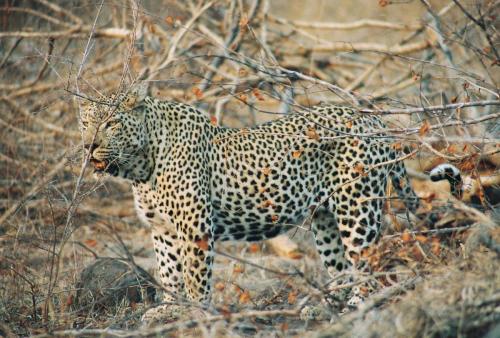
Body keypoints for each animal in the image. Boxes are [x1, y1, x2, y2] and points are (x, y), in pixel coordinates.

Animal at [80, 85, 420, 320]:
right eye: (85, 123)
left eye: (111, 123)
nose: (89, 145)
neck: (141, 165)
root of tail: (373, 119)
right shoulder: (162, 229)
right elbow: (169, 272)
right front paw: (168, 309)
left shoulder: (194, 228)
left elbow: (195, 277)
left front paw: (197, 314)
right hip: (326, 220)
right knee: (342, 267)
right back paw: (328, 308)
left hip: (357, 208)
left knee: (371, 266)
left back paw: (360, 306)